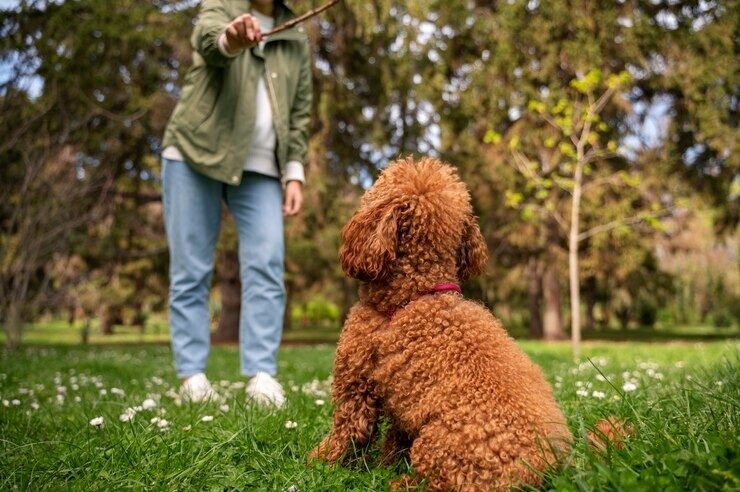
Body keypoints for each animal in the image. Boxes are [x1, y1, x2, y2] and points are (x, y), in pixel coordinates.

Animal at [310, 158, 576, 492]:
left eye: (377, 186)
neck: (416, 292)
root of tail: (543, 472)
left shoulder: (356, 384)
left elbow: (347, 433)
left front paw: (320, 463)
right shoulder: (404, 404)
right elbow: (394, 440)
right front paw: (384, 465)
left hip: (437, 443)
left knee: (439, 483)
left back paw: (401, 483)